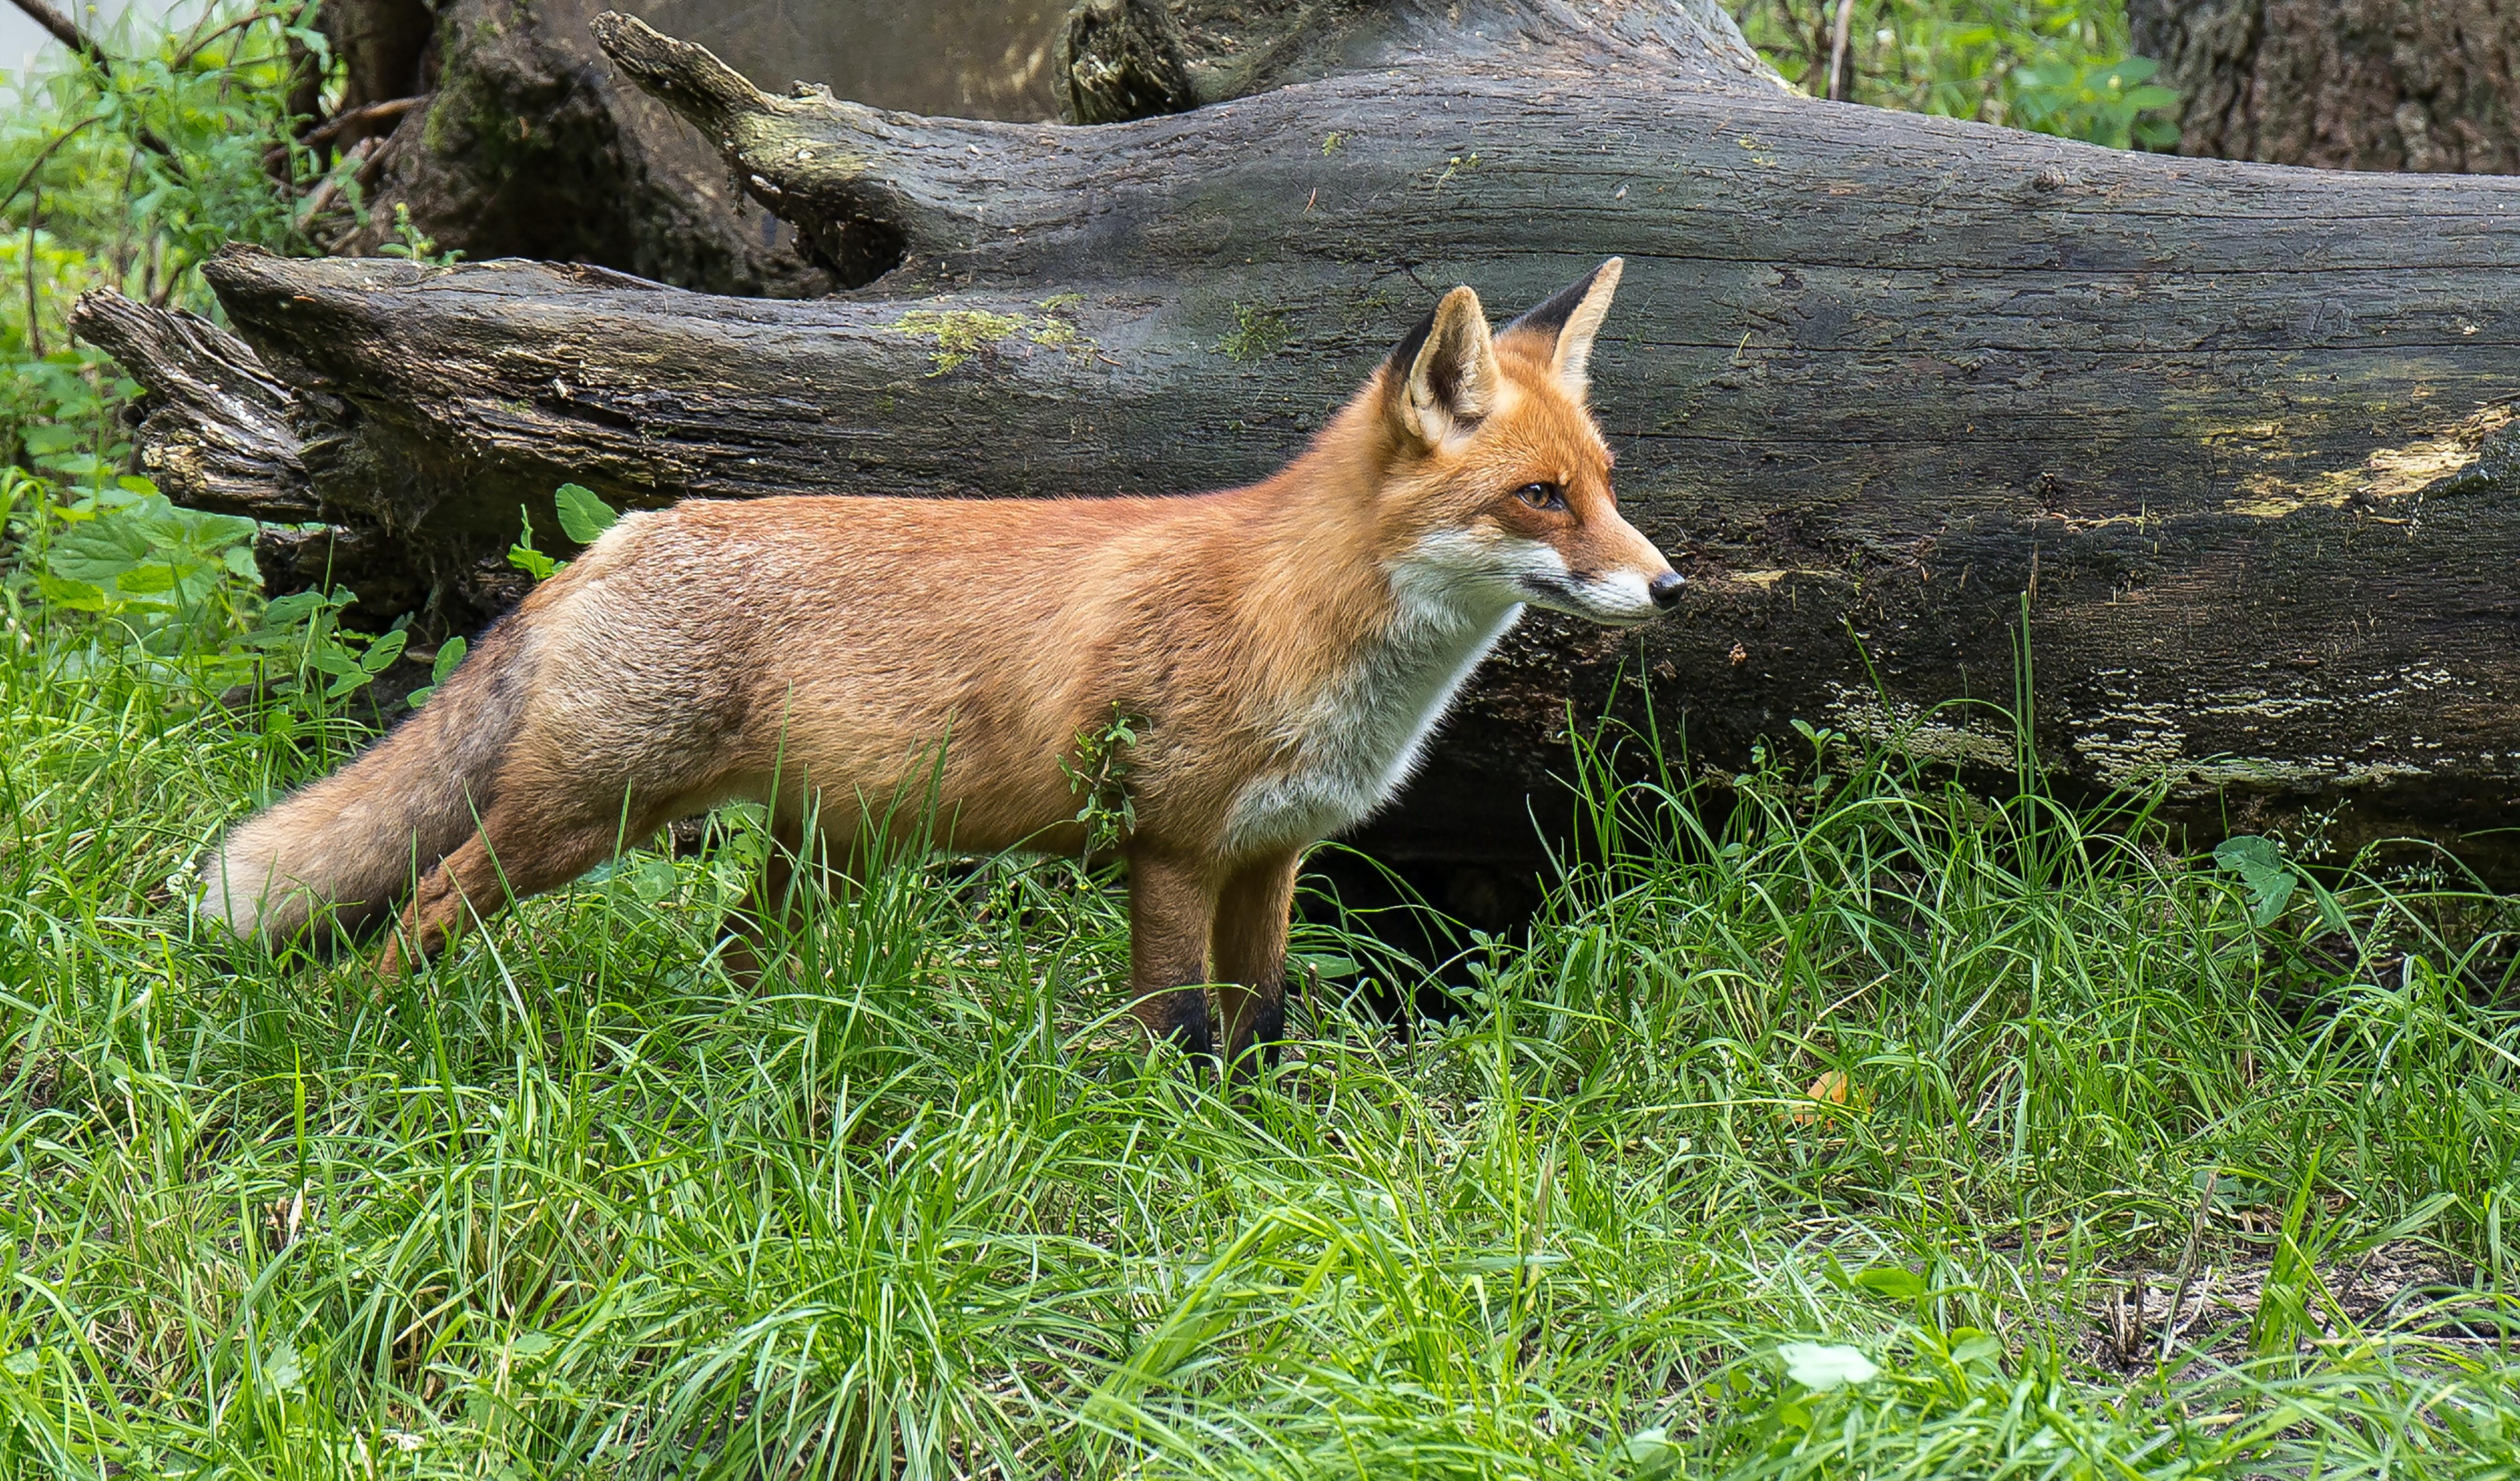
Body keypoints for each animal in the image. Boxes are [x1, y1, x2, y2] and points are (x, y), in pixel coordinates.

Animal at [206, 261, 1683, 1068]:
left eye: (1607, 487)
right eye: (1540, 497)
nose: (1670, 587)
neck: (1299, 628)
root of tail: (625, 531)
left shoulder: (1274, 858)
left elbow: (1260, 1032)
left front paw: (1262, 1160)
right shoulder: (1170, 848)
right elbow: (1178, 1033)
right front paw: (1175, 1163)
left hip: (812, 851)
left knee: (732, 955)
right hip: (584, 818)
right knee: (425, 900)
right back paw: (367, 1039)